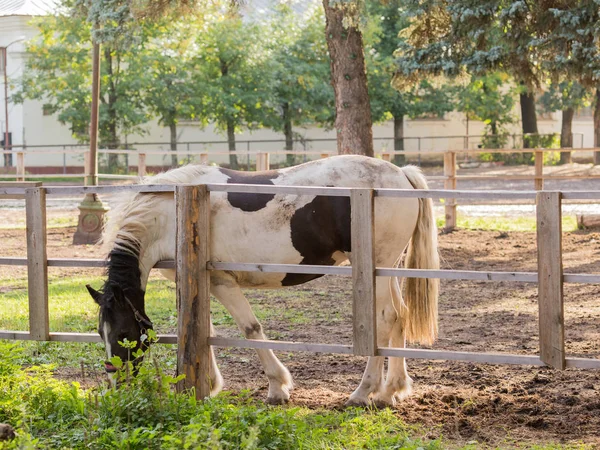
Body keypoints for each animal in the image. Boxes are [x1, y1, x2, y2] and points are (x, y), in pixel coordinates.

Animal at [86, 155, 438, 408]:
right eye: (100, 333)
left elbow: (251, 329)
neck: (168, 211)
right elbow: (205, 330)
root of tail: (401, 174)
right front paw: (210, 385)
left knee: (387, 319)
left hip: (378, 268)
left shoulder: (222, 282)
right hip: (387, 270)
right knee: (401, 316)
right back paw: (392, 391)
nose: (117, 387)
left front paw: (277, 387)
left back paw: (364, 393)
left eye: (123, 334)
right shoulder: (198, 282)